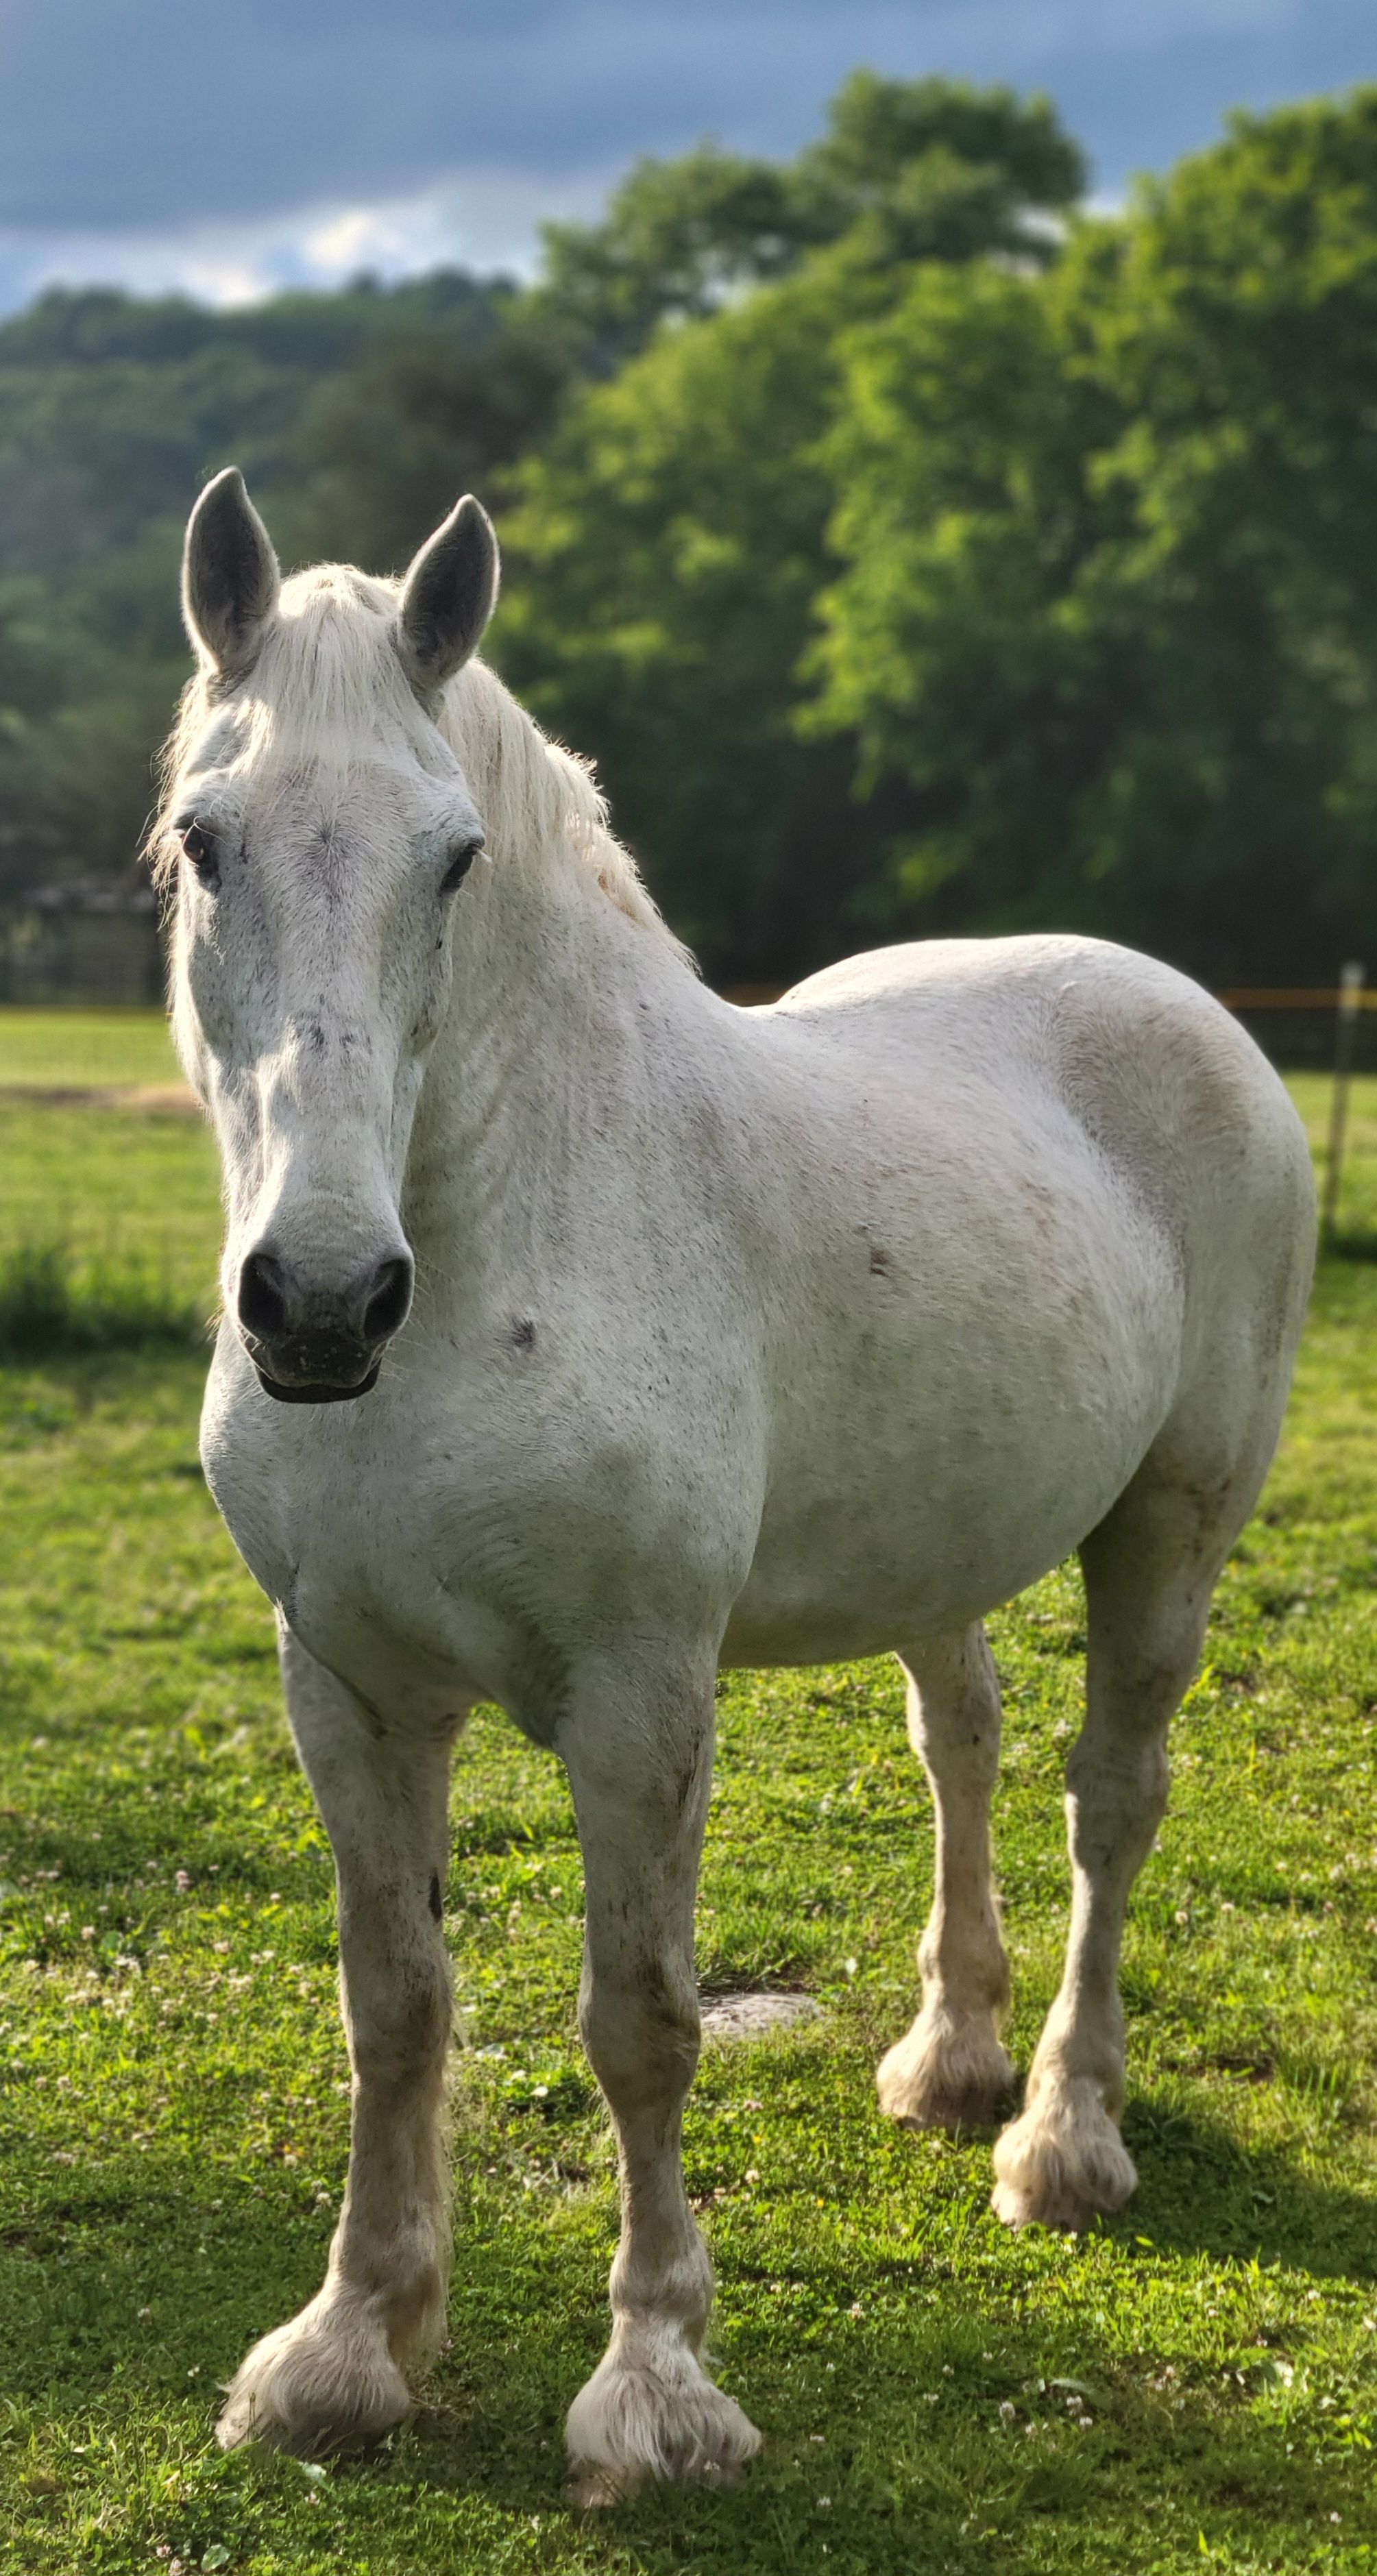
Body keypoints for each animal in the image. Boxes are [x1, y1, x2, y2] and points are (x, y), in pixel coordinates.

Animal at [153, 467, 1315, 2496]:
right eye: (207, 841)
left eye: (453, 862)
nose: (318, 1299)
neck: (496, 1250)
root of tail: (1189, 1007)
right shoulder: (347, 1685)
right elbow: (395, 2006)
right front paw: (349, 2348)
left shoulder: (639, 1696)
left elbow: (641, 2024)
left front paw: (657, 2386)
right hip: (941, 1552)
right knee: (963, 1743)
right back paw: (952, 2060)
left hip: (1170, 1532)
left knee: (1112, 1802)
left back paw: (1064, 2139)